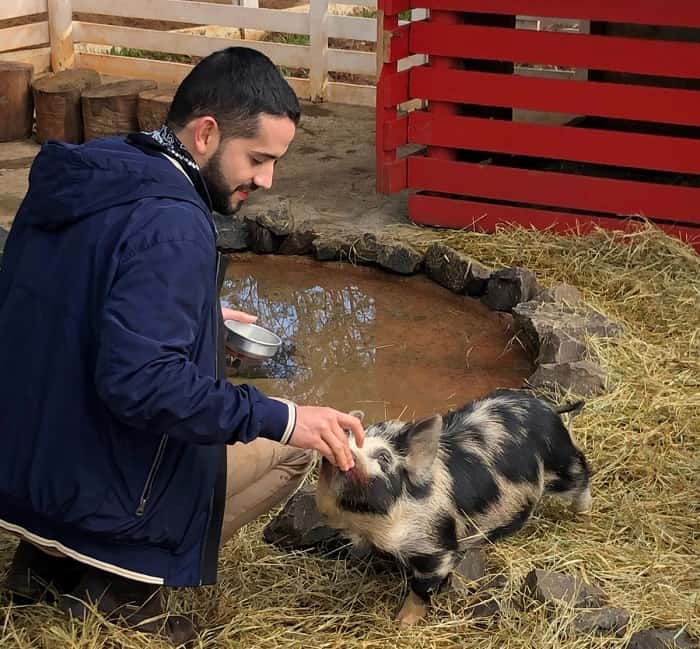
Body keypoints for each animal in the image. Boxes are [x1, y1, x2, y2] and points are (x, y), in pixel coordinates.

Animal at [314, 388, 592, 624]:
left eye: (384, 457)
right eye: (347, 437)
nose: (344, 451)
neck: (369, 524)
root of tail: (547, 407)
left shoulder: (436, 547)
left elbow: (422, 588)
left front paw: (403, 623)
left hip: (562, 462)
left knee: (583, 472)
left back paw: (581, 512)